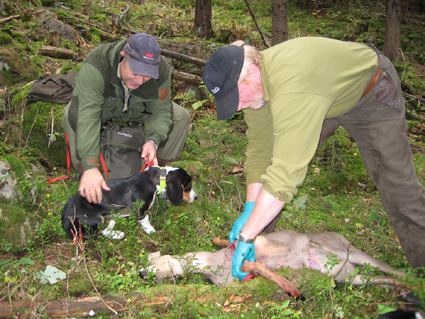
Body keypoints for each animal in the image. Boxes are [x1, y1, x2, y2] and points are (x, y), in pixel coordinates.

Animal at [61, 168, 197, 240]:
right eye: (188, 186)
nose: (196, 197)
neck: (152, 180)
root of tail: (65, 221)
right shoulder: (139, 210)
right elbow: (145, 219)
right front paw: (150, 229)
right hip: (94, 219)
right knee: (96, 234)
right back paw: (117, 233)